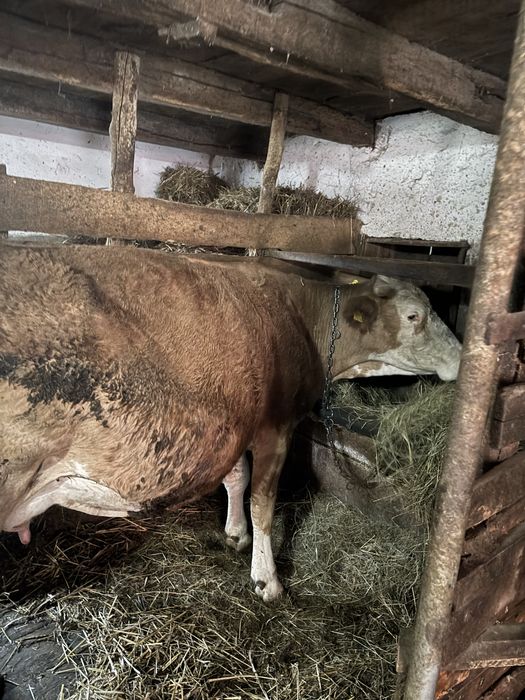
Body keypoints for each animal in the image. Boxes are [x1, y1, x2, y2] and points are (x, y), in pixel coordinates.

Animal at [0, 243, 461, 601]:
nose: (462, 357)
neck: (301, 315)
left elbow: (236, 479)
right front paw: (267, 580)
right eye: (414, 316)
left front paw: (235, 534)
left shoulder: (236, 419)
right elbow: (263, 503)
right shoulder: (275, 426)